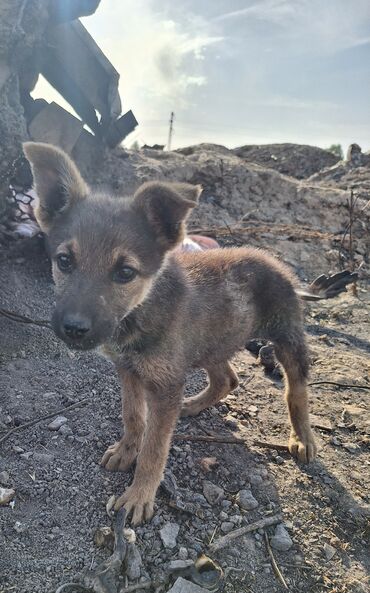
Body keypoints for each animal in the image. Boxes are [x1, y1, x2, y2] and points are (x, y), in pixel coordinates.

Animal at [23, 142, 318, 524]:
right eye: (64, 261)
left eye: (125, 272)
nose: (73, 329)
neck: (141, 309)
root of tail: (275, 261)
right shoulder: (129, 370)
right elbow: (134, 417)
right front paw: (126, 450)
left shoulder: (166, 386)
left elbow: (154, 447)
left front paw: (139, 495)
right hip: (209, 343)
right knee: (227, 378)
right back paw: (193, 405)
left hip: (286, 339)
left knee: (296, 390)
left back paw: (304, 437)